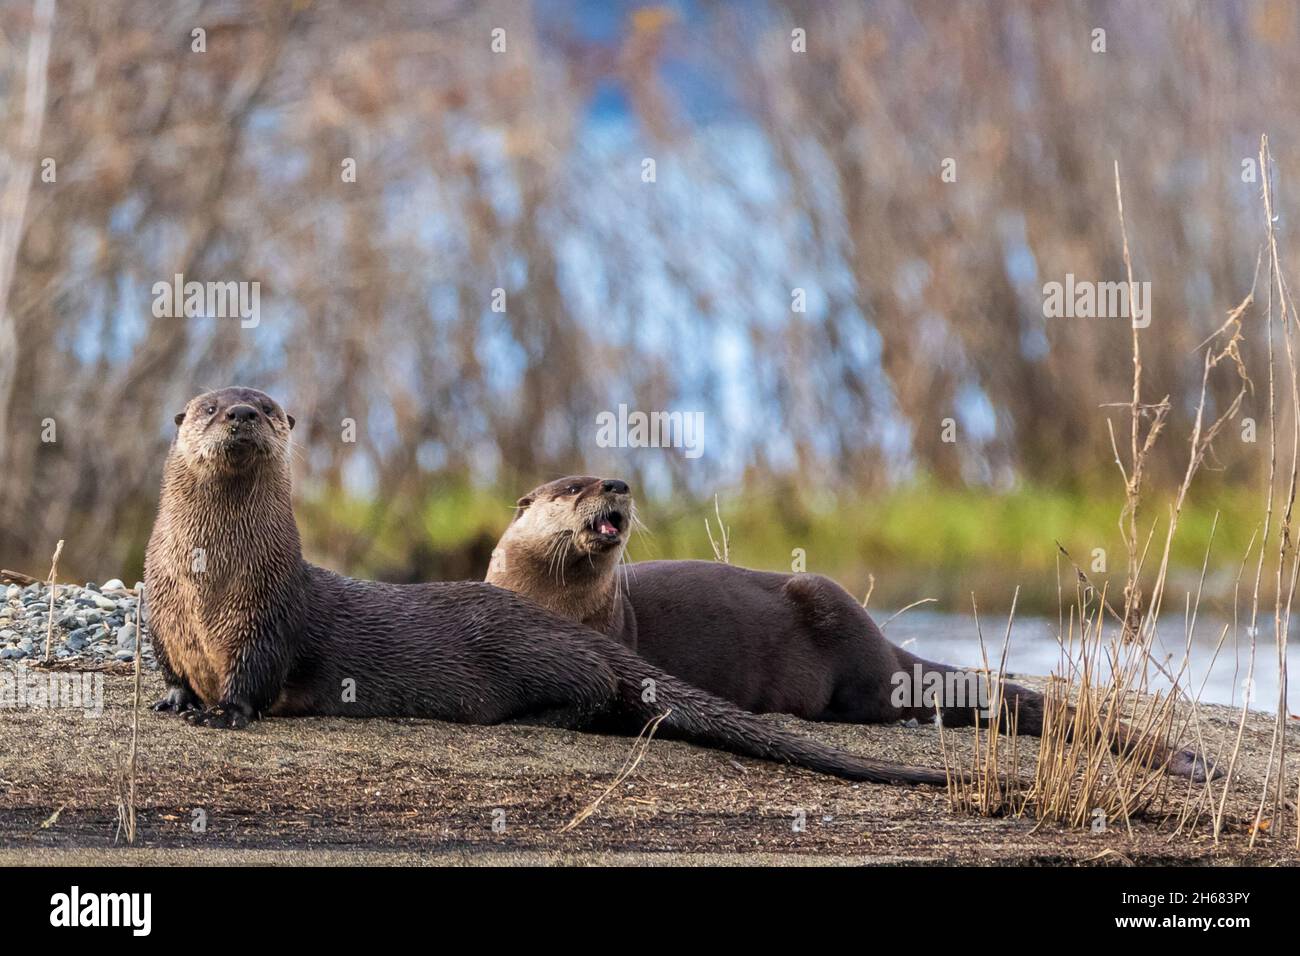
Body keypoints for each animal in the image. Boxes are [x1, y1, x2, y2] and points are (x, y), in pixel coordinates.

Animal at [142, 385, 956, 790]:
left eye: (265, 408)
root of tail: (563, 627)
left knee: (595, 691)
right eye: (212, 407)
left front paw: (223, 712)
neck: (209, 581)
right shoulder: (162, 615)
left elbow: (255, 674)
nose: (240, 414)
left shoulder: (270, 616)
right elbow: (170, 664)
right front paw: (176, 700)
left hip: (536, 657)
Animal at [483, 476, 1211, 780]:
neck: (557, 602)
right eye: (573, 487)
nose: (617, 483)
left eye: (607, 481)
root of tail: (884, 641)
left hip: (839, 626)